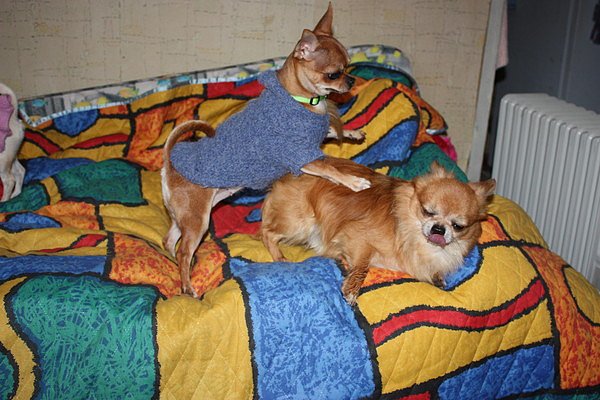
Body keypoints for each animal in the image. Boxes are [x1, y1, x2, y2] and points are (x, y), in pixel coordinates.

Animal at [162, 3, 370, 296]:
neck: (301, 100)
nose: (351, 81)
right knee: (183, 251)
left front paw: (353, 132)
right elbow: (331, 168)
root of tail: (170, 163)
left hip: (182, 217)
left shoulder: (313, 140)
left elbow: (330, 129)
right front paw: (355, 181)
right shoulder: (302, 156)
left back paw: (177, 267)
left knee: (169, 240)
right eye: (333, 74)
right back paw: (188, 286)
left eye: (349, 66)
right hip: (197, 220)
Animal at [260, 158, 496, 305]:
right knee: (267, 232)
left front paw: (438, 278)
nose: (439, 228)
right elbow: (363, 265)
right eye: (427, 211)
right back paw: (280, 257)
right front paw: (352, 288)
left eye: (458, 226)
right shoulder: (355, 234)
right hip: (299, 222)